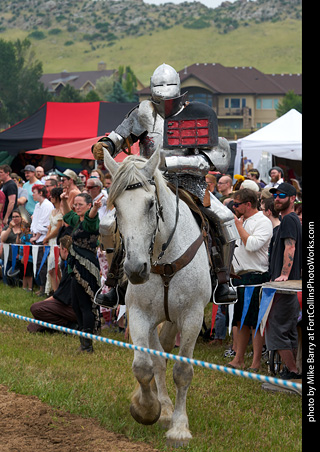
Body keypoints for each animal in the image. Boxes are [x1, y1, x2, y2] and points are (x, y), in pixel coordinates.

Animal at [103, 147, 212, 444]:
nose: (135, 269)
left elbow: (183, 371)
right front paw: (148, 409)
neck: (164, 256)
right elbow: (144, 365)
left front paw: (179, 427)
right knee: (159, 358)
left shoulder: (192, 317)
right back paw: (162, 407)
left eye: (150, 204)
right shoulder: (140, 315)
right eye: (117, 207)